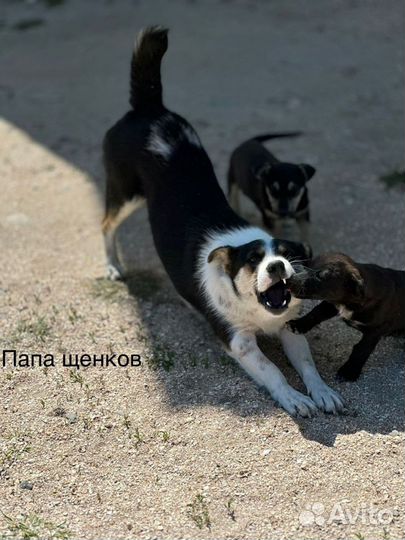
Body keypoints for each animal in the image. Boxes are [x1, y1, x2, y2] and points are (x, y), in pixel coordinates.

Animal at [101, 27, 340, 418]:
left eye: (287, 255)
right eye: (254, 259)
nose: (277, 266)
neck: (259, 314)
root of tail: (149, 108)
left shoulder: (290, 326)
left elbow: (307, 365)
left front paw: (322, 392)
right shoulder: (238, 340)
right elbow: (273, 371)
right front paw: (293, 398)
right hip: (124, 193)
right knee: (106, 225)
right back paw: (112, 265)